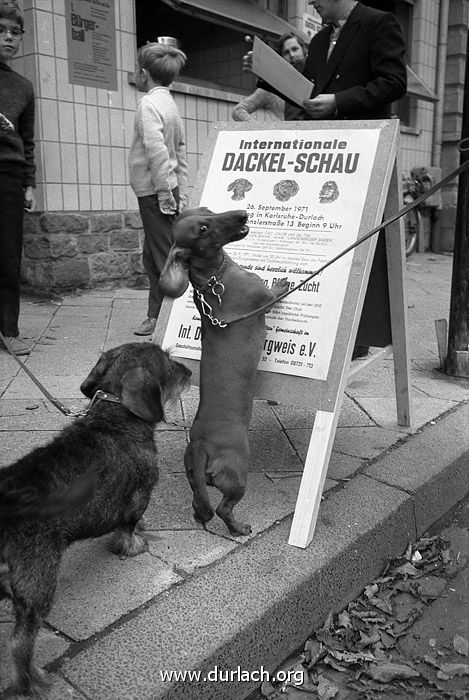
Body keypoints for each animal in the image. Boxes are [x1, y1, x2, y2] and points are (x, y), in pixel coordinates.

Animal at [0, 340, 190, 696]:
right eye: (169, 363)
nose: (188, 370)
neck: (113, 415)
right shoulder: (141, 492)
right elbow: (128, 526)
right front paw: (133, 545)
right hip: (39, 585)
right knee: (19, 643)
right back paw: (31, 682)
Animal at [159, 208, 288, 536]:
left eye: (207, 210)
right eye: (204, 228)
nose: (242, 213)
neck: (214, 281)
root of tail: (202, 446)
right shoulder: (264, 297)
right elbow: (275, 293)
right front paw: (283, 283)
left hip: (193, 478)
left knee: (201, 505)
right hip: (238, 474)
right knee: (223, 508)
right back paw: (239, 528)